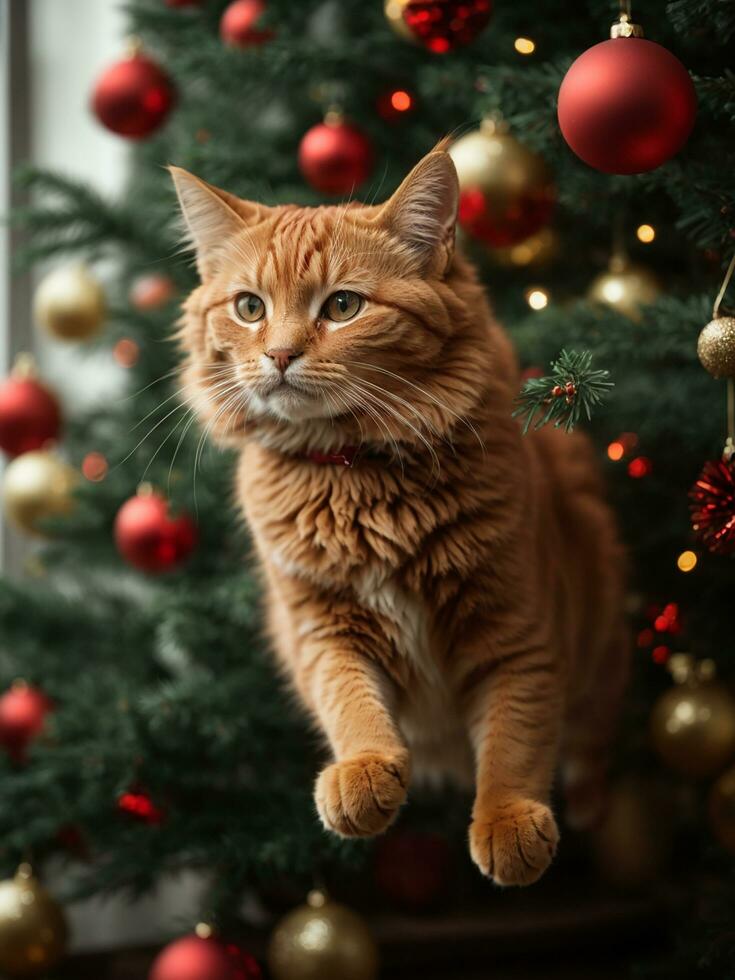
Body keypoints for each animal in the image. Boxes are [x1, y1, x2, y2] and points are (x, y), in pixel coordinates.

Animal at [171, 147, 628, 888]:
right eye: (248, 307)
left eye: (343, 305)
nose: (279, 355)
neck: (356, 475)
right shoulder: (321, 627)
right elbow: (349, 701)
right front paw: (362, 772)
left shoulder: (516, 630)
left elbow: (516, 736)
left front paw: (507, 819)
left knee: (592, 732)